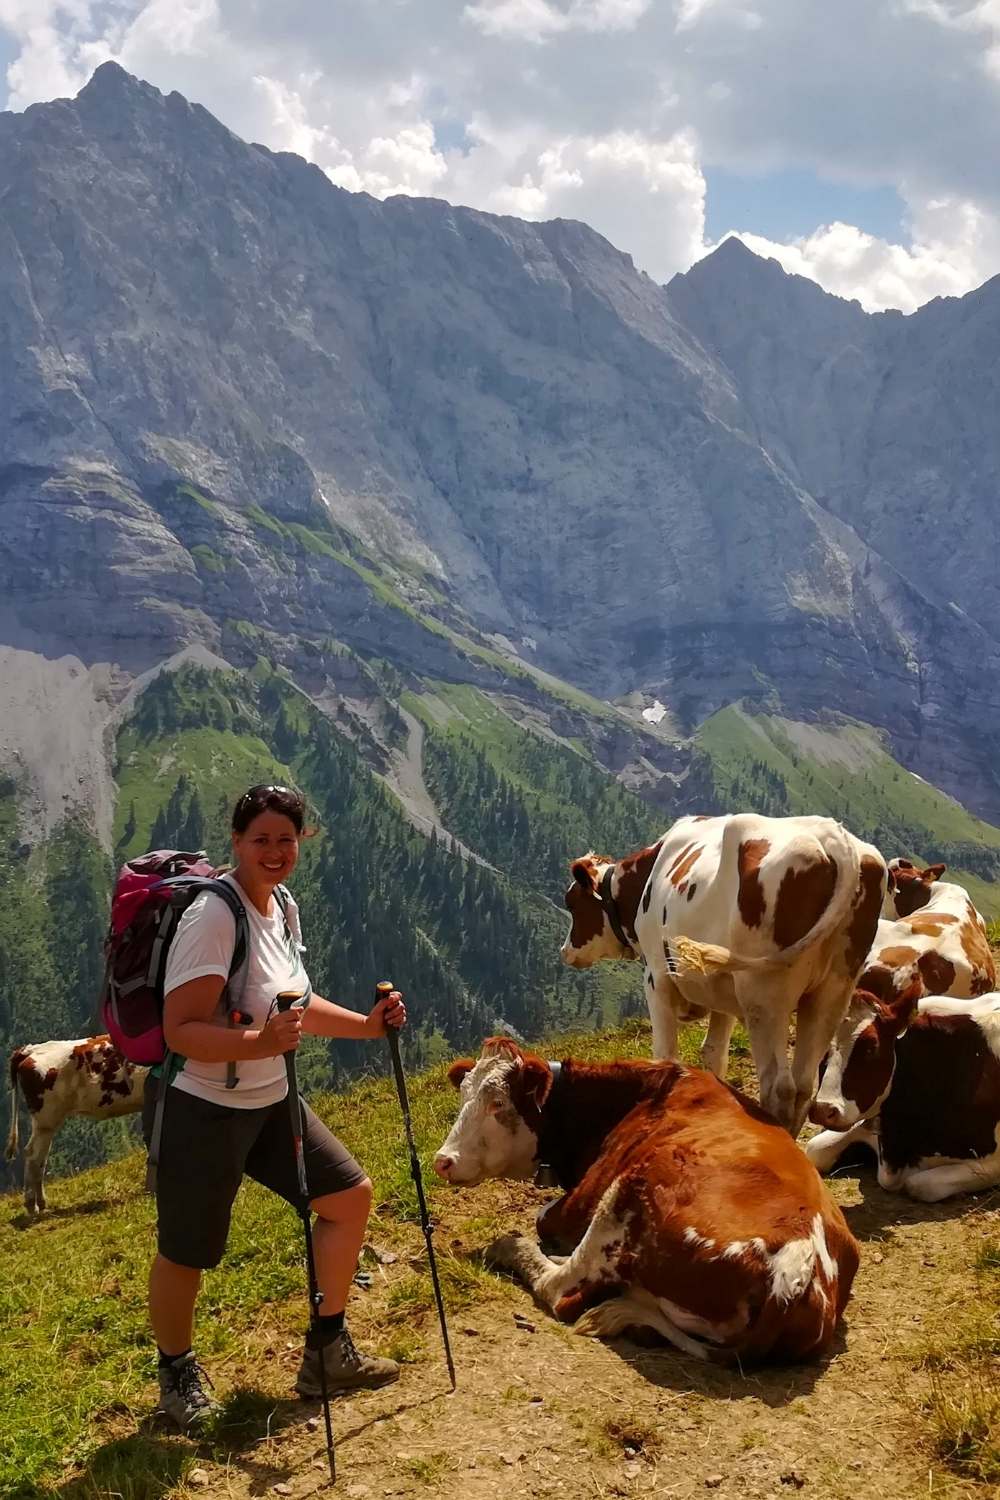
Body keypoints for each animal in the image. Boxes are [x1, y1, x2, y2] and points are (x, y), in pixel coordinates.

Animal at [4, 1038, 146, 1212]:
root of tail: (30, 1049)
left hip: (45, 1123)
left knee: (39, 1157)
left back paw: (41, 1203)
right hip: (46, 1120)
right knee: (33, 1155)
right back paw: (32, 1205)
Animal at [434, 1038, 863, 1368]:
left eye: (498, 1104)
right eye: (463, 1095)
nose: (443, 1160)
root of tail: (795, 1268)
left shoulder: (577, 1205)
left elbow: (544, 1220)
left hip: (632, 1187)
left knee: (561, 1290)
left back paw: (513, 1248)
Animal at [566, 816, 887, 1128]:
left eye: (573, 904)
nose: (565, 951)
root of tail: (836, 840)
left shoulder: (657, 977)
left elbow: (666, 1054)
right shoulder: (720, 993)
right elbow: (714, 1054)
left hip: (764, 994)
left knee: (779, 1086)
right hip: (832, 991)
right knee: (804, 1087)